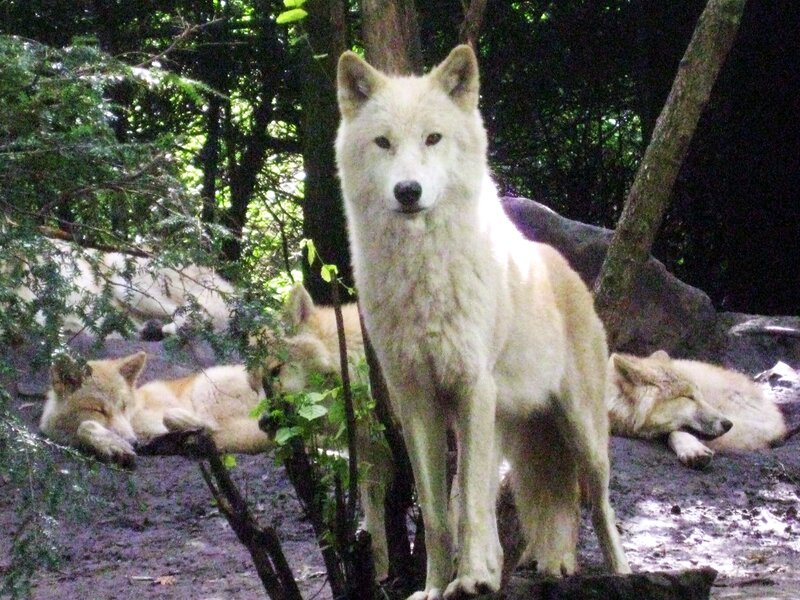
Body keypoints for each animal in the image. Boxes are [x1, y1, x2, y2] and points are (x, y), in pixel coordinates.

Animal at [41, 351, 269, 466]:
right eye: (98, 410)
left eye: (123, 406)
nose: (132, 441)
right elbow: (85, 427)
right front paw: (110, 444)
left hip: (205, 388)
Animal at [335, 45, 630, 599]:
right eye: (384, 142)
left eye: (433, 138)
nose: (408, 191)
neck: (424, 273)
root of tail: (565, 269)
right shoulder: (417, 402)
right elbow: (436, 512)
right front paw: (435, 587)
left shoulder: (472, 386)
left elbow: (467, 503)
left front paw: (470, 578)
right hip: (502, 430)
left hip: (581, 434)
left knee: (599, 505)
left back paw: (621, 573)